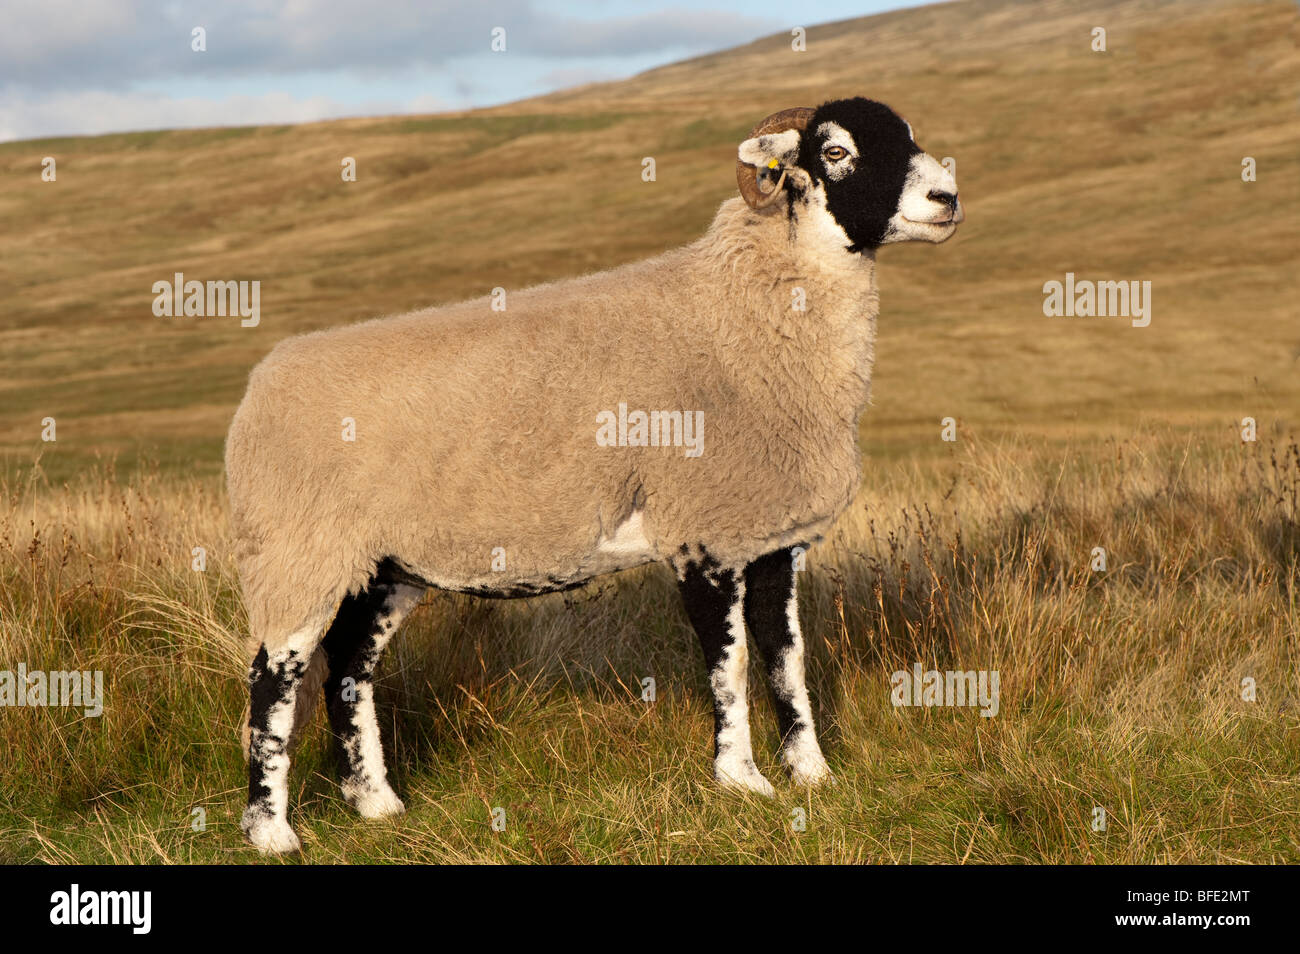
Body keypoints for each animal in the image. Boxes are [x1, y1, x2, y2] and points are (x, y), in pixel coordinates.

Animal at [228, 98, 967, 857]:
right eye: (837, 151)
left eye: (908, 136)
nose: (947, 199)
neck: (742, 311)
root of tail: (261, 383)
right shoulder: (701, 533)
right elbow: (730, 665)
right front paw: (742, 781)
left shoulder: (769, 535)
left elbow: (787, 659)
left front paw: (813, 774)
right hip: (297, 552)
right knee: (272, 677)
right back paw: (272, 831)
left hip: (380, 565)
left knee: (349, 665)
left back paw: (376, 804)